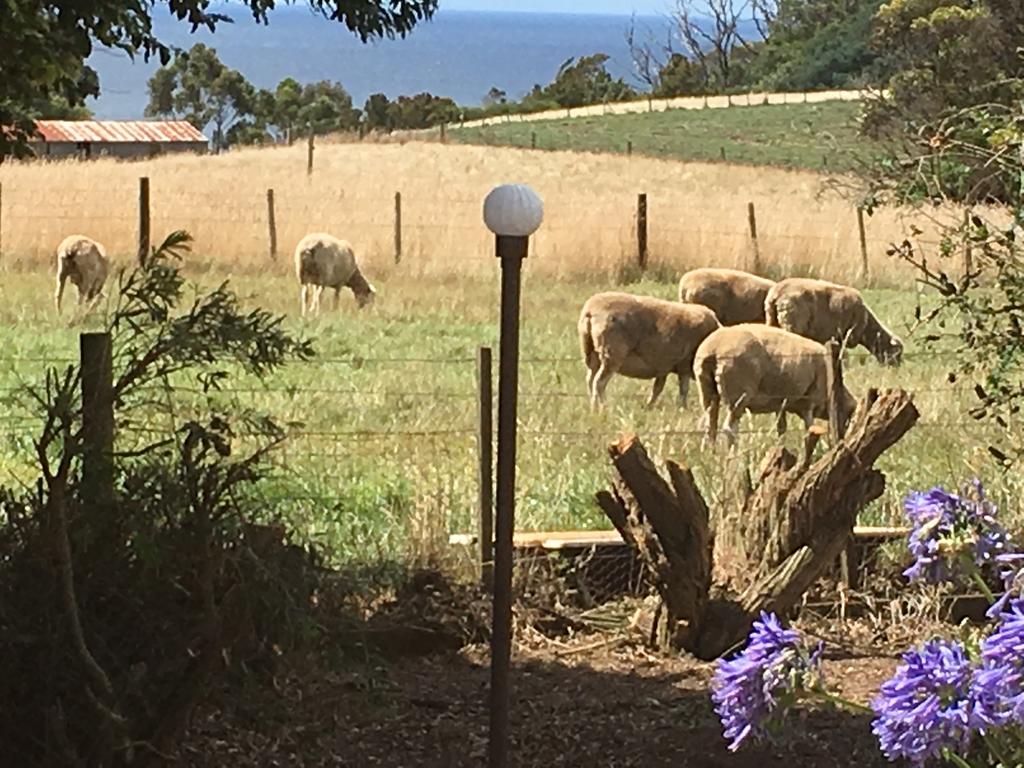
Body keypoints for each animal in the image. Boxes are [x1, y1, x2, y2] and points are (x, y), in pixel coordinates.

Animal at [577, 290, 720, 409]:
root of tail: (590, 310)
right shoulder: (683, 364)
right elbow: (683, 390)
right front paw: (683, 408)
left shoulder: (664, 366)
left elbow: (657, 388)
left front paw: (649, 406)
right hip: (612, 354)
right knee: (599, 383)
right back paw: (602, 408)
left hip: (591, 353)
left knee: (590, 379)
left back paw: (593, 406)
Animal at [696, 323, 856, 444]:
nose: (844, 439)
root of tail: (713, 349)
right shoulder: (809, 401)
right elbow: (809, 427)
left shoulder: (780, 404)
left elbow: (782, 428)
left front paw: (781, 446)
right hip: (738, 395)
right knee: (729, 429)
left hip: (707, 392)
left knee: (710, 428)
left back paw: (712, 455)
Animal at [761, 280, 905, 366]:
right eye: (896, 352)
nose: (897, 368)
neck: (868, 327)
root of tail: (777, 293)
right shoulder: (844, 336)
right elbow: (843, 354)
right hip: (792, 324)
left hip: (771, 319)